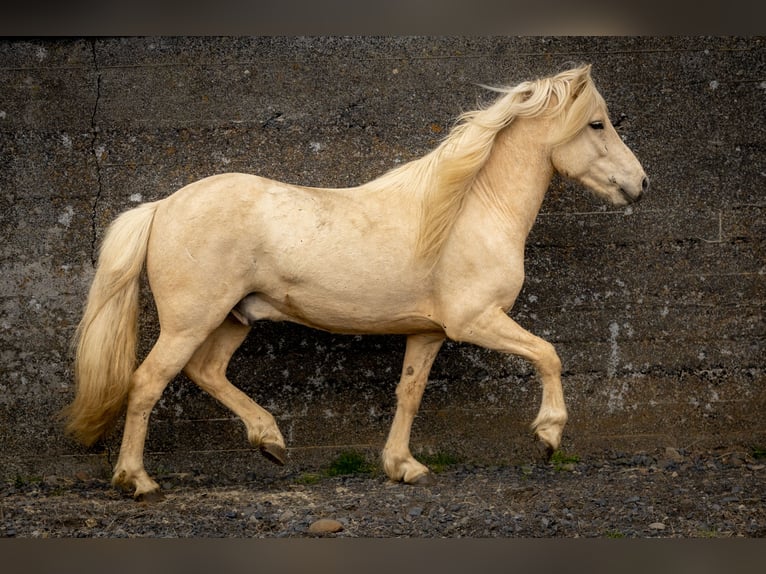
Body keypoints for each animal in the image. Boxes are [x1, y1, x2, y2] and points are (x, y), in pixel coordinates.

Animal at [63, 65, 648, 502]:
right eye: (597, 125)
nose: (640, 184)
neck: (468, 210)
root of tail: (162, 206)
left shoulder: (428, 332)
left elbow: (409, 393)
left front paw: (404, 467)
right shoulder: (475, 321)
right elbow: (548, 353)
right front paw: (548, 435)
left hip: (234, 317)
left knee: (207, 372)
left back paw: (270, 440)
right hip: (191, 320)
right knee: (147, 383)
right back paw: (138, 481)